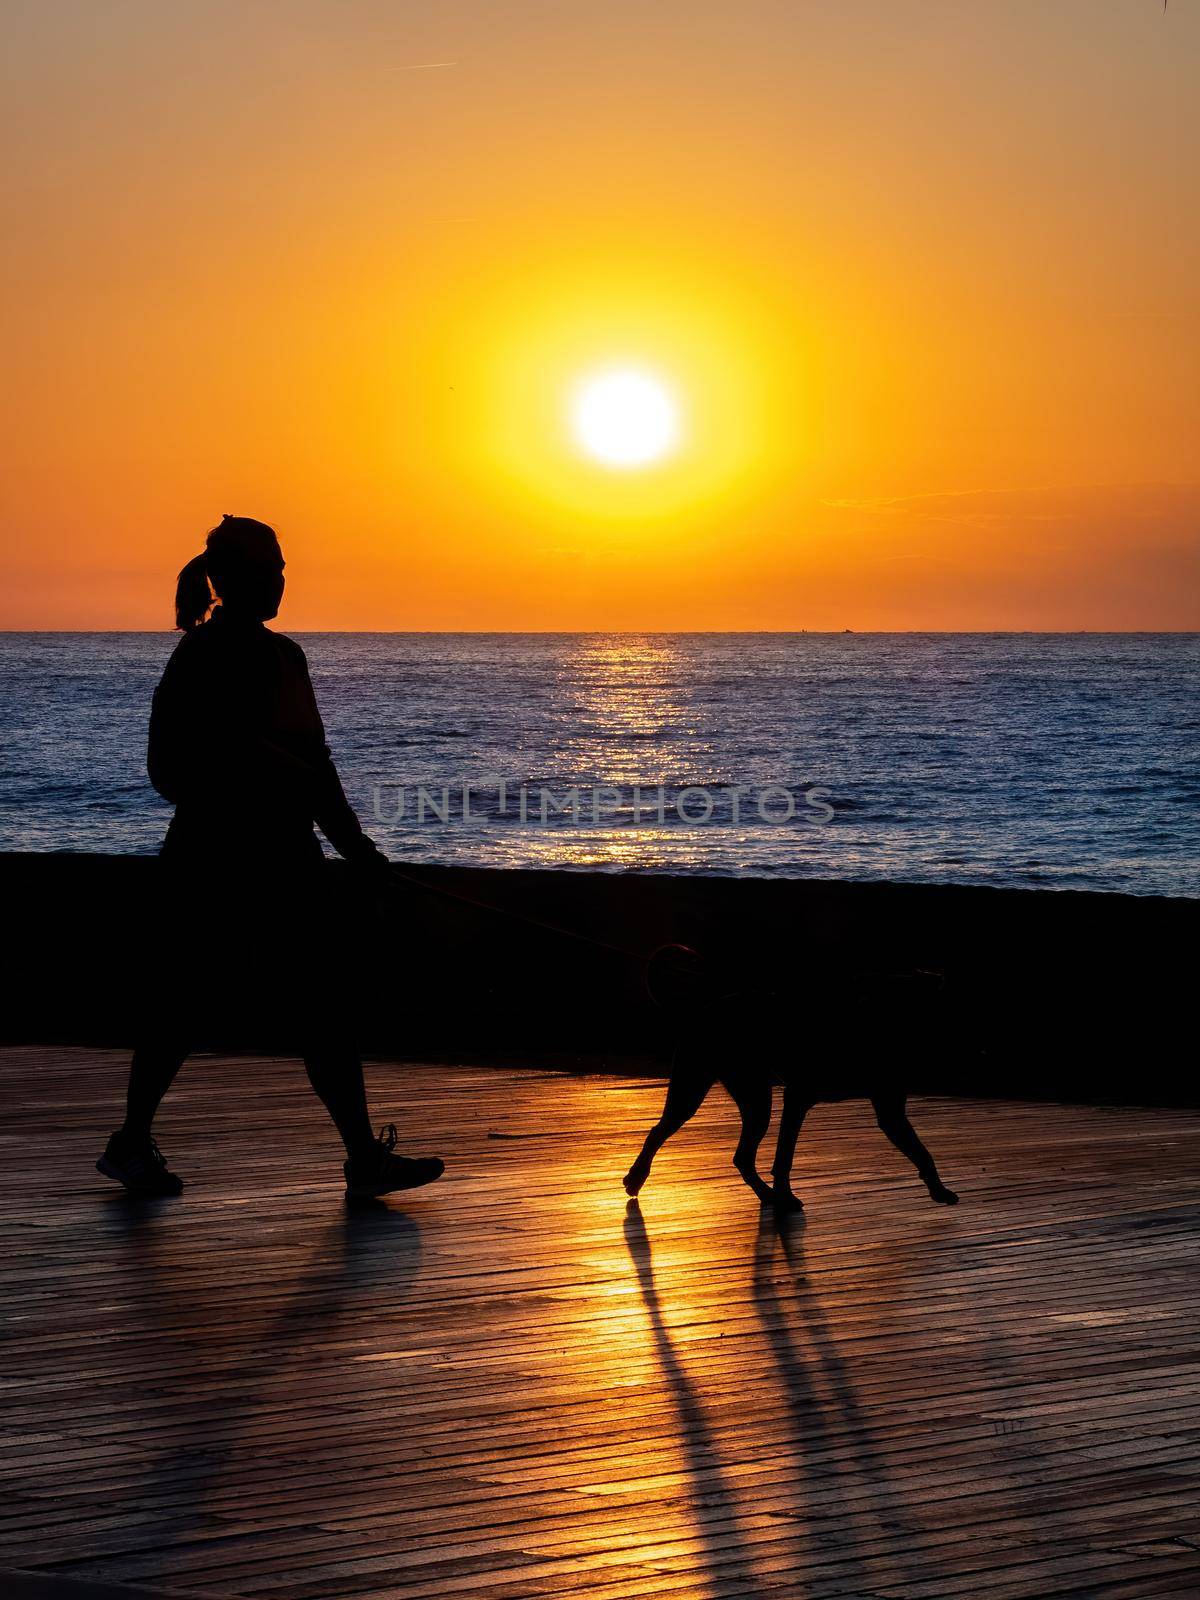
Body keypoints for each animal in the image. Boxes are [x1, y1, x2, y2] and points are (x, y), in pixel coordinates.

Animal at [624, 934, 966, 1209]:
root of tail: (700, 1009)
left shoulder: (889, 1108)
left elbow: (921, 1151)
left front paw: (938, 1189)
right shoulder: (798, 1097)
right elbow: (784, 1158)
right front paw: (786, 1194)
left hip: (750, 1097)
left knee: (740, 1156)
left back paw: (767, 1196)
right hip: (707, 1089)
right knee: (660, 1132)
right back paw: (637, 1178)